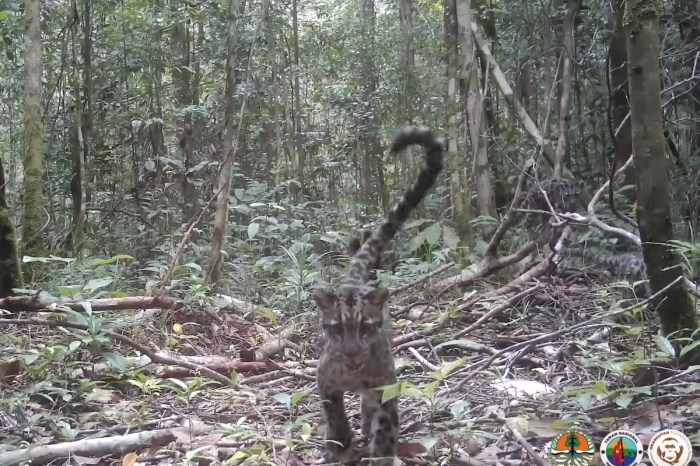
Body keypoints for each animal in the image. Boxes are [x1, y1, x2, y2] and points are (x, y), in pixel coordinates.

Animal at [313, 126, 443, 465]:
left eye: (365, 327)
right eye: (336, 328)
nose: (351, 353)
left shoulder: (386, 386)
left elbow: (386, 425)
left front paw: (381, 453)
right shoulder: (325, 379)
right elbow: (334, 412)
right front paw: (340, 442)